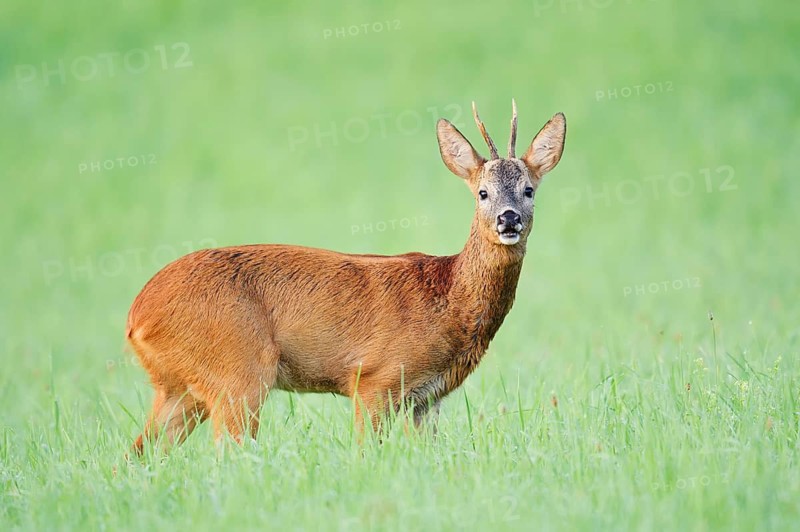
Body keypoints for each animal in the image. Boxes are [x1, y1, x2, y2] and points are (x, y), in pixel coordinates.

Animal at [126, 100, 566, 454]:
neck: (449, 296)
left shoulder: (427, 398)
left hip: (180, 388)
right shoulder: (374, 379)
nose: (508, 219)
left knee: (138, 455)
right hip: (239, 370)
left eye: (528, 190)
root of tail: (137, 316)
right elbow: (365, 453)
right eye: (482, 193)